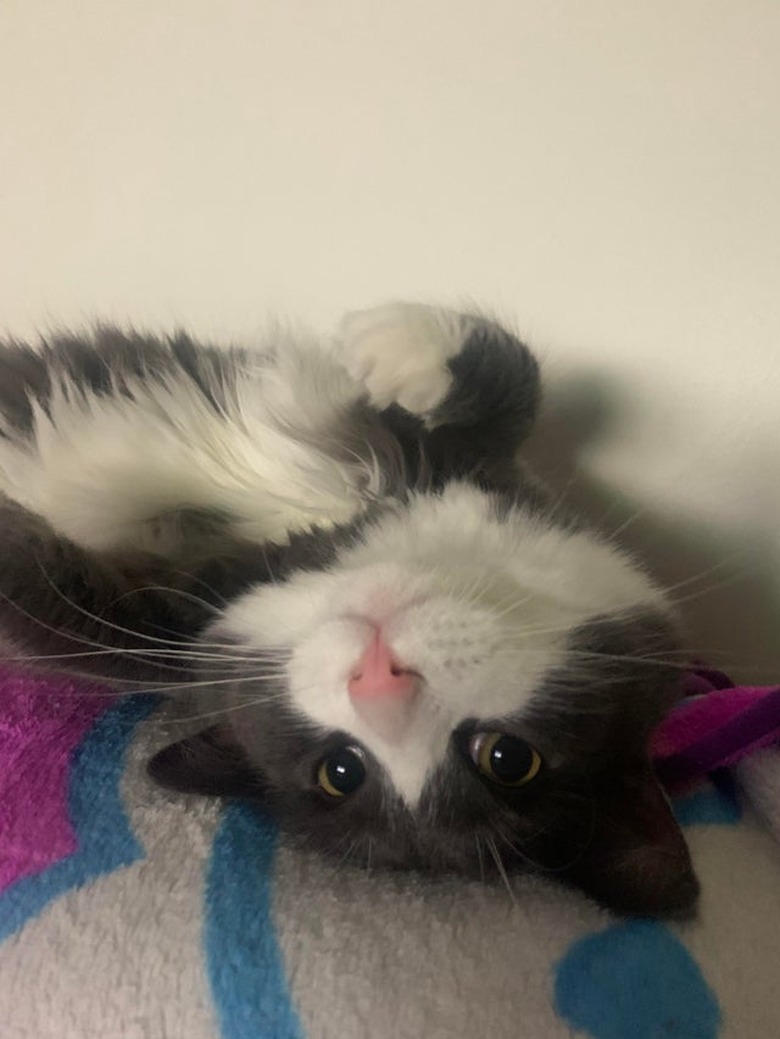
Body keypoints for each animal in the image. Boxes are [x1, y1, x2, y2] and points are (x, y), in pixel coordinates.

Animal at [0, 303, 697, 918]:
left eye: (507, 758)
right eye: (339, 771)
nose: (377, 680)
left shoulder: (154, 635)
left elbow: (43, 598)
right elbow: (513, 382)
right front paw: (395, 350)